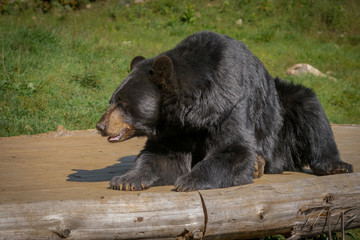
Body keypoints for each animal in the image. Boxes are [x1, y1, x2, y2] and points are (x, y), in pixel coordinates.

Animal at [96, 31, 354, 191]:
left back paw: (334, 165)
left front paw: (190, 180)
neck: (197, 112)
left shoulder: (231, 104)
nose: (100, 126)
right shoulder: (175, 128)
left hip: (282, 118)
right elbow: (161, 156)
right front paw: (126, 179)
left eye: (123, 104)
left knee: (309, 108)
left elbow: (233, 148)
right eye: (112, 99)